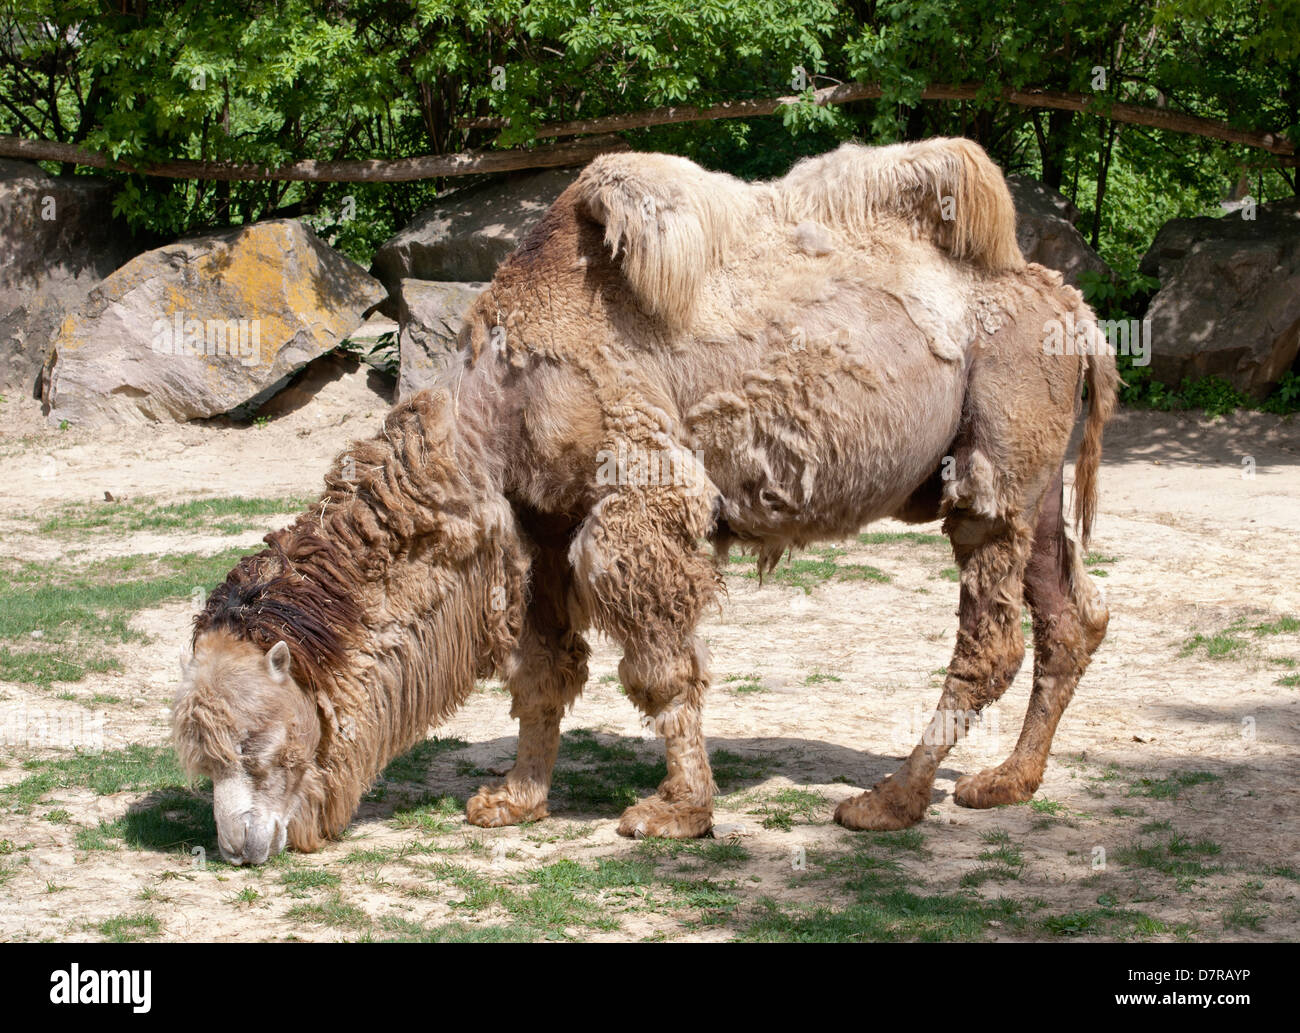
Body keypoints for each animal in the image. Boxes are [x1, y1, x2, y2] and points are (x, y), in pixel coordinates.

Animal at [174, 137, 1117, 863]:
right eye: (199, 755)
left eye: (252, 742)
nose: (238, 845)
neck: (496, 404)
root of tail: (1076, 309)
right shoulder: (539, 523)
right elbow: (543, 669)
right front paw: (513, 798)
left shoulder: (635, 497)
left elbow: (661, 662)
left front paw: (677, 813)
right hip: (1030, 476)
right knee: (1073, 614)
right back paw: (1007, 781)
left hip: (1000, 442)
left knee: (992, 633)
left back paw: (889, 800)